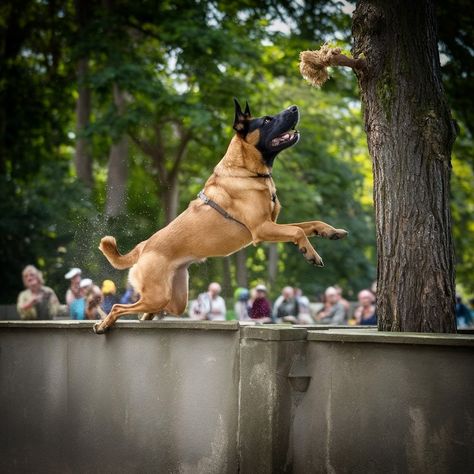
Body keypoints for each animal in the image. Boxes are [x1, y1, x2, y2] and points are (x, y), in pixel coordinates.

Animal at [94, 99, 346, 334]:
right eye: (267, 120)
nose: (294, 108)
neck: (246, 171)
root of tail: (143, 246)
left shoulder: (271, 224)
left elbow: (309, 224)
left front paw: (331, 231)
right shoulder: (261, 229)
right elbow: (298, 230)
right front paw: (311, 253)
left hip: (175, 297)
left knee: (150, 309)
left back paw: (144, 317)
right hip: (158, 293)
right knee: (118, 306)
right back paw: (104, 324)